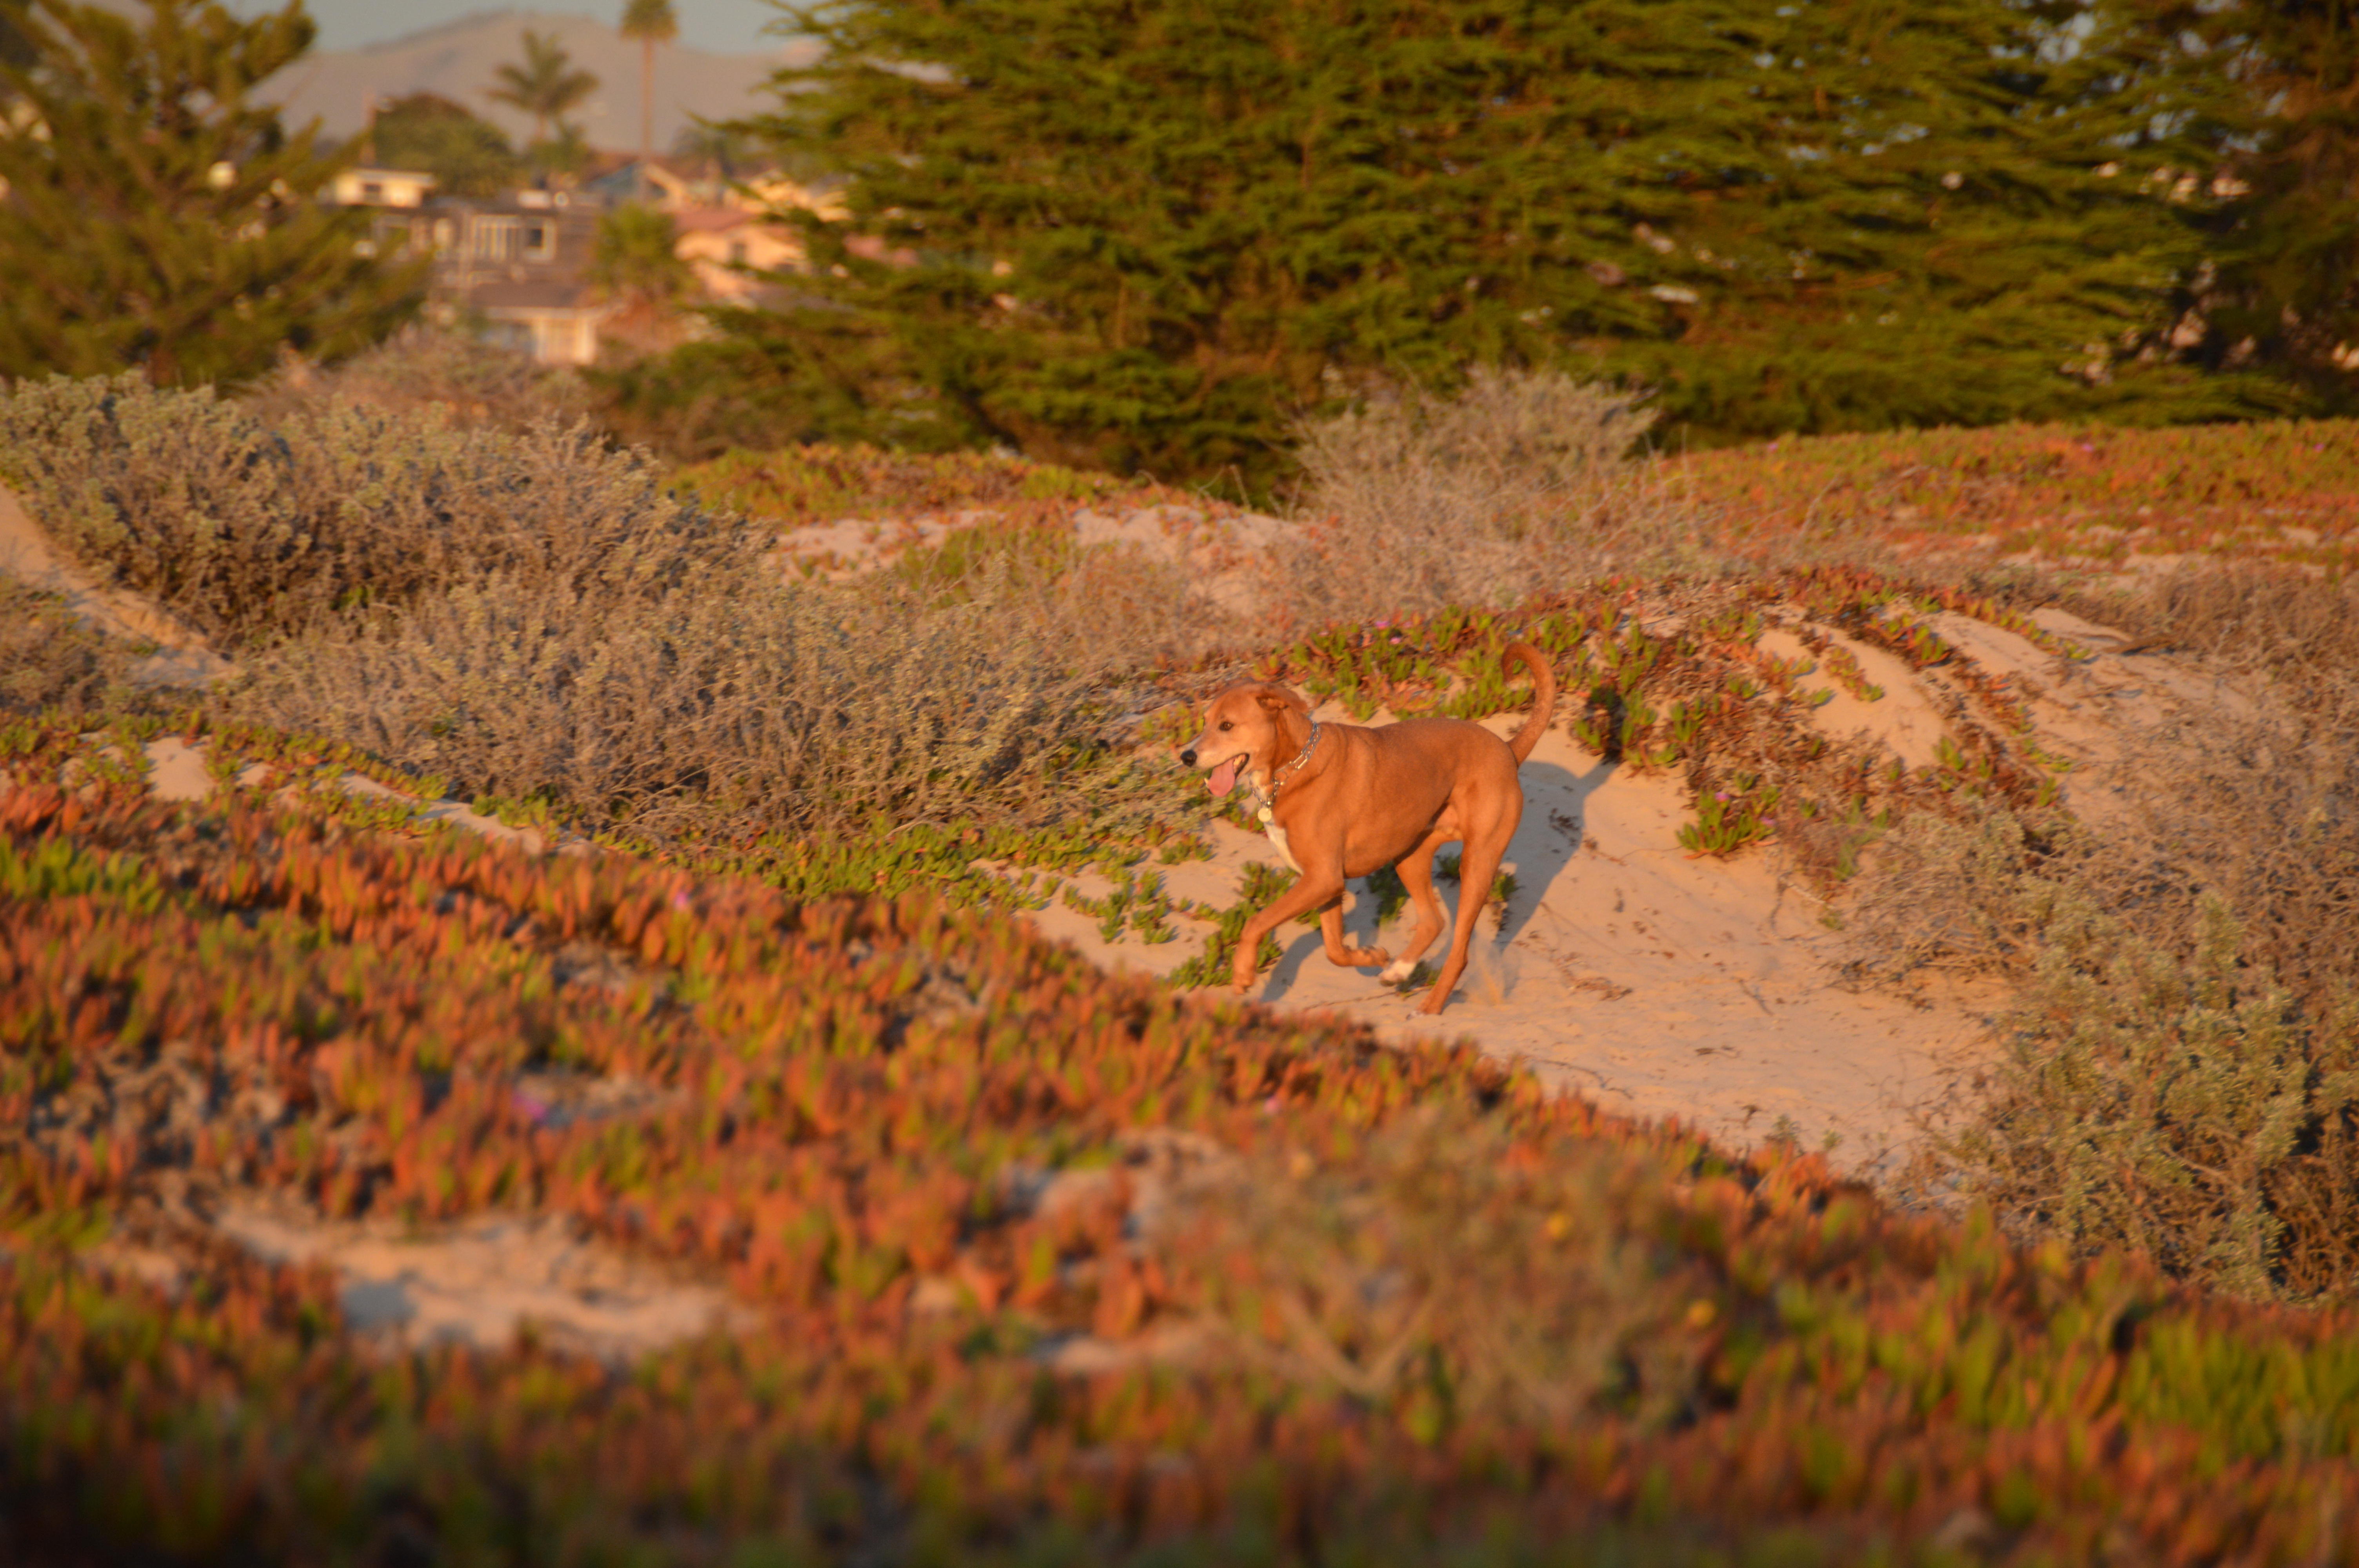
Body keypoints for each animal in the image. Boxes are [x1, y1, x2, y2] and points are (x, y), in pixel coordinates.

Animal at [1179, 642, 1555, 1015]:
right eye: (1205, 722)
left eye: (1227, 725)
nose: (1186, 757)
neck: (1292, 768)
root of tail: (1508, 751)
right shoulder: (1325, 883)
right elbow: (1334, 950)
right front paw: (1371, 956)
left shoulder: (1323, 878)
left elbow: (1256, 922)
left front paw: (1243, 972)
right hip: (1410, 856)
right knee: (1433, 921)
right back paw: (1398, 970)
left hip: (1478, 863)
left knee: (1459, 951)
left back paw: (1430, 1008)